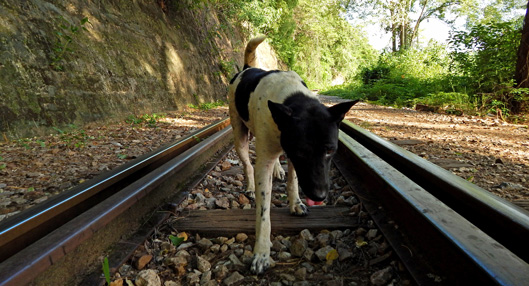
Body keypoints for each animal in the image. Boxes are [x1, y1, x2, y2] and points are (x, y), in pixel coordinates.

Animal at [228, 36, 358, 274]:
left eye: (330, 150)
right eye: (301, 151)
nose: (319, 196)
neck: (290, 97)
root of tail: (247, 68)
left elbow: (293, 180)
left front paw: (295, 203)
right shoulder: (269, 160)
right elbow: (264, 213)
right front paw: (261, 253)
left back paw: (279, 170)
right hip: (238, 134)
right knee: (247, 164)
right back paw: (250, 186)